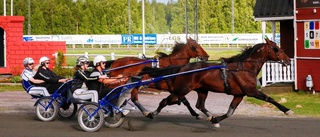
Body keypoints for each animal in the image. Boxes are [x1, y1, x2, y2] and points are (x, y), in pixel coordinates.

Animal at [151, 38, 294, 127]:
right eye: (276, 48)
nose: (288, 60)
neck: (244, 68)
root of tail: (182, 68)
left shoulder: (239, 95)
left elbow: (230, 112)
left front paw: (216, 120)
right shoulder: (251, 91)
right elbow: (269, 98)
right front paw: (287, 110)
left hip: (202, 90)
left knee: (199, 105)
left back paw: (209, 116)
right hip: (182, 89)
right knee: (165, 101)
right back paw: (151, 114)